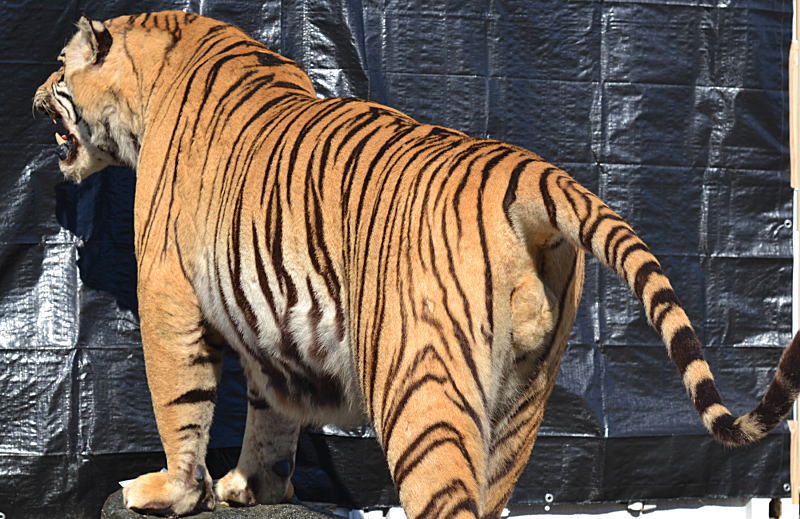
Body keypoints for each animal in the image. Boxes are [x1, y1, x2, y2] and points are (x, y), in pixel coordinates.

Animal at [32, 11, 800, 518]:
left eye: (61, 67)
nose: (37, 98)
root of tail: (536, 172)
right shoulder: (269, 326)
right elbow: (271, 413)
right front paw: (253, 486)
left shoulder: (166, 288)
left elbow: (179, 402)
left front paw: (169, 489)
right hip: (521, 398)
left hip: (419, 381)